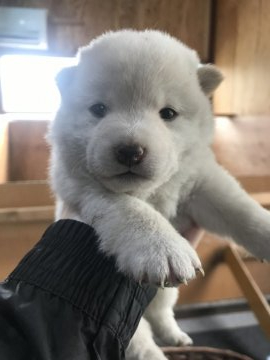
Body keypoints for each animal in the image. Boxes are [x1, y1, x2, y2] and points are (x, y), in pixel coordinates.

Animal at [47, 29, 270, 358]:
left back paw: (176, 336)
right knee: (138, 340)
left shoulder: (200, 182)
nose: (130, 150)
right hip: (124, 325)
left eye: (168, 113)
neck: (150, 192)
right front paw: (161, 247)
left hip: (166, 295)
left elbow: (238, 208)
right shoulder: (84, 188)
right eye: (98, 109)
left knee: (161, 310)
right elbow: (130, 209)